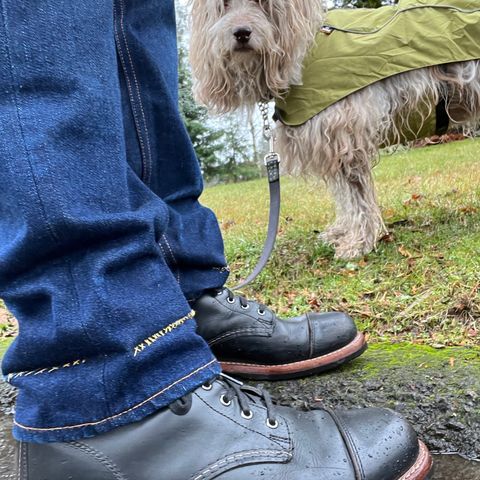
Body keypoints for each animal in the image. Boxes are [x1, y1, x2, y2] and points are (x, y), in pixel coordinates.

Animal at [189, 0, 478, 258]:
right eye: (224, 4)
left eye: (263, 2)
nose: (241, 33)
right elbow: (347, 198)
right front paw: (344, 232)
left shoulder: (345, 138)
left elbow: (357, 195)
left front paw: (359, 242)